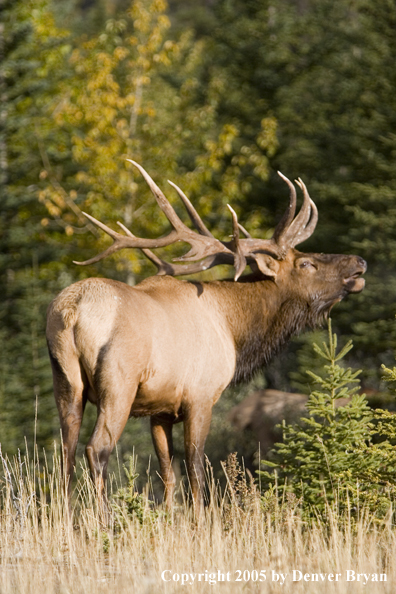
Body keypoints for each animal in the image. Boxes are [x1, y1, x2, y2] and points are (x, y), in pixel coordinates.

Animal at [45, 160, 366, 506]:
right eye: (306, 263)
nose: (359, 262)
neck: (234, 329)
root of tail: (71, 311)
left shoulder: (160, 410)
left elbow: (168, 475)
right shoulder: (201, 395)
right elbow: (196, 471)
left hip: (66, 382)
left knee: (65, 453)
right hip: (118, 384)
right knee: (97, 449)